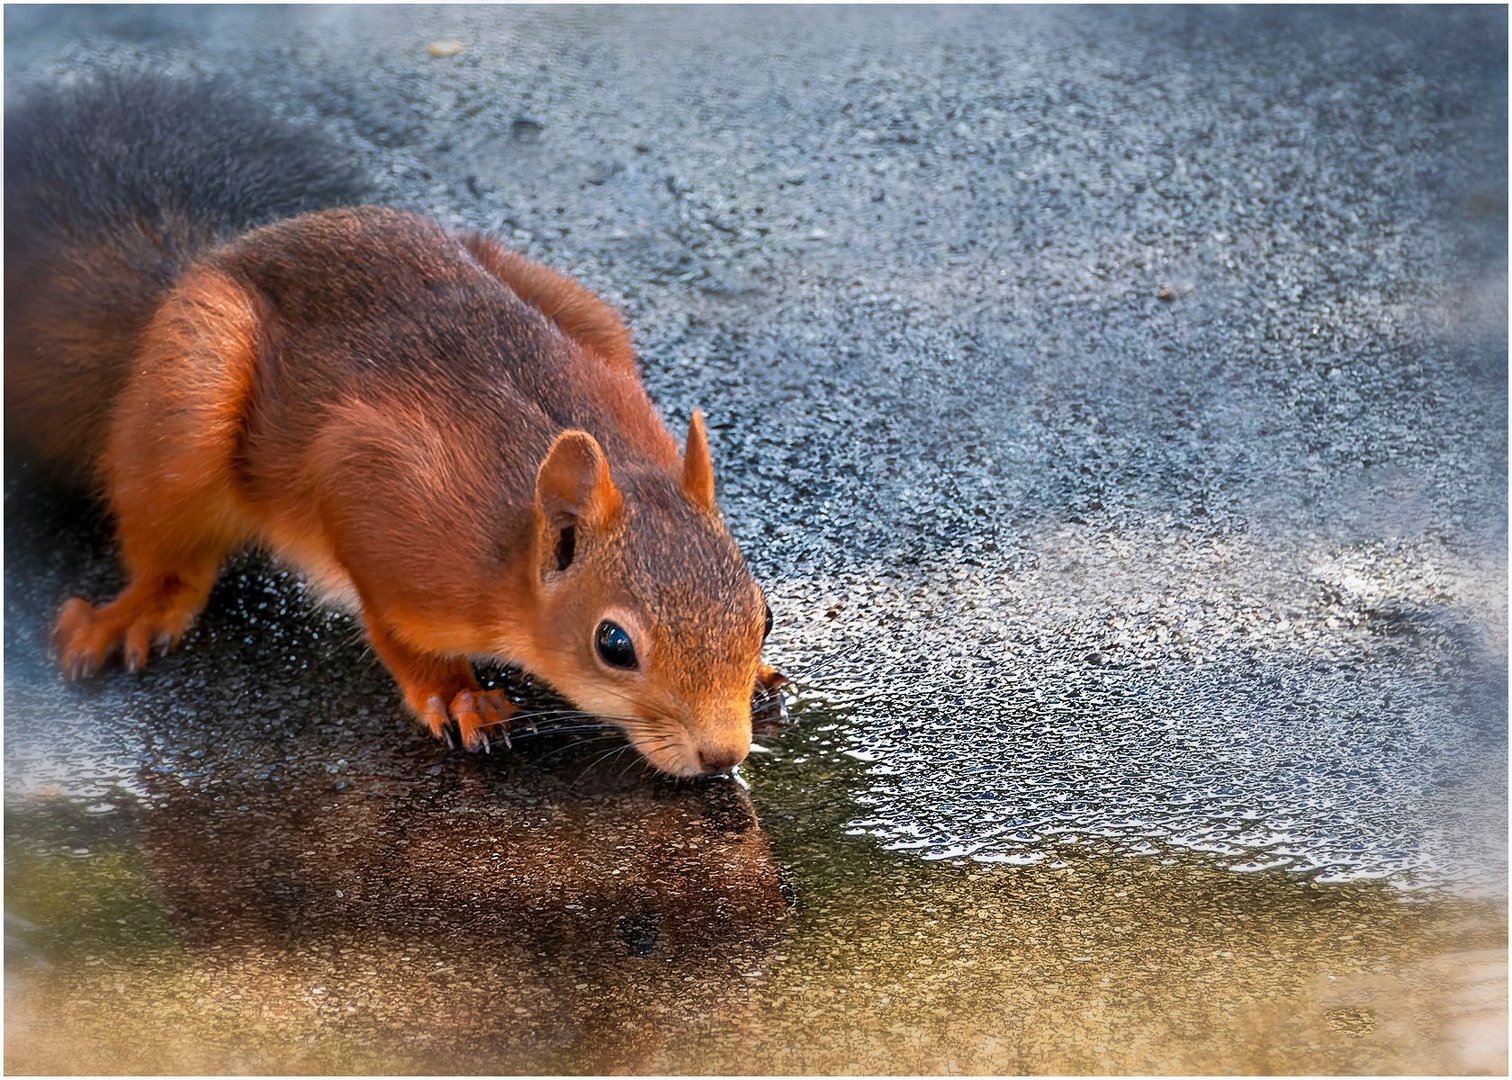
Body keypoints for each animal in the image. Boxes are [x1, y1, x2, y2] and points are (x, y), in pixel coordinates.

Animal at [8, 69, 792, 774]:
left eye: (763, 612)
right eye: (614, 645)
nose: (723, 755)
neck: (511, 549)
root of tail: (202, 261)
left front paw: (758, 676)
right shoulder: (379, 500)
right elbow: (390, 623)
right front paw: (456, 694)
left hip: (580, 310)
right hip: (186, 403)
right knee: (168, 545)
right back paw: (136, 610)